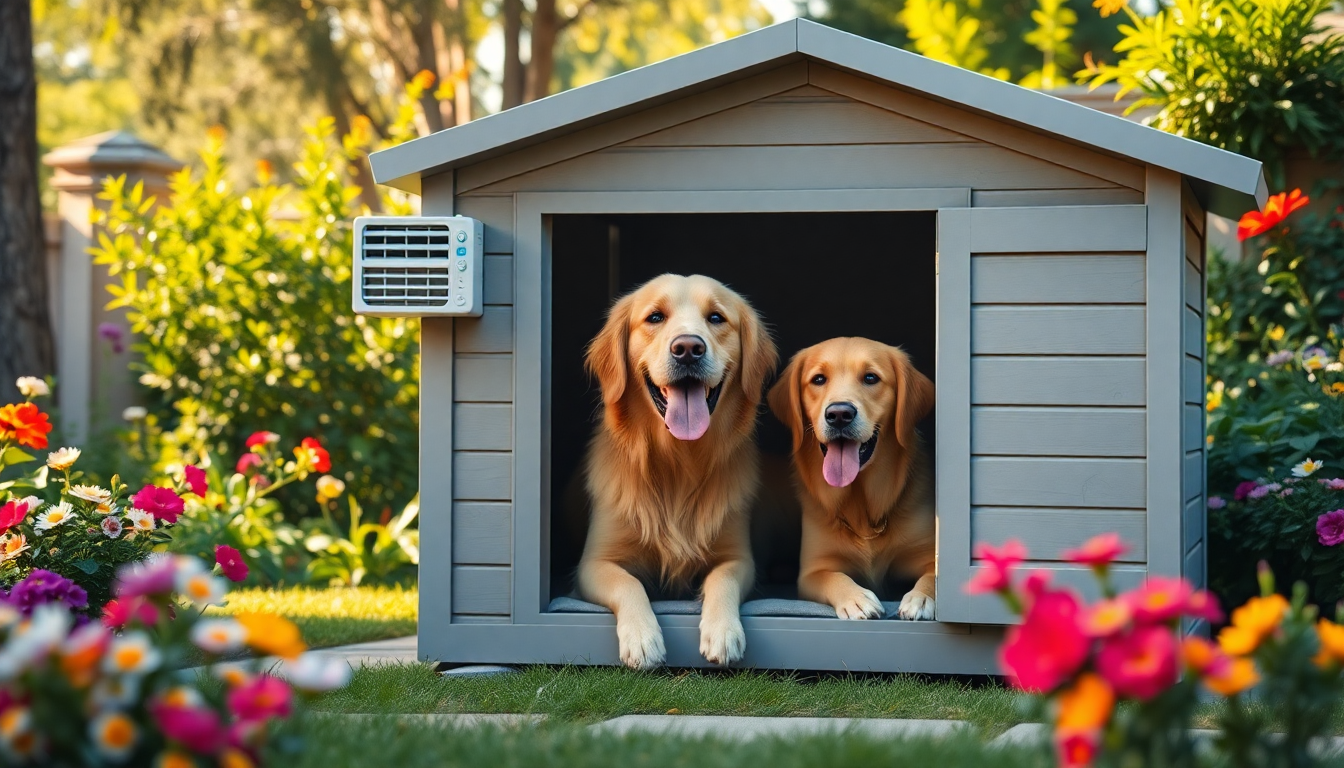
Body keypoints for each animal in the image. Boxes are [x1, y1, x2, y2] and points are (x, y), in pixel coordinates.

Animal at [577, 274, 779, 667]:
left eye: (716, 318)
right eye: (655, 317)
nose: (688, 348)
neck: (678, 463)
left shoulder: (738, 557)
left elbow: (723, 578)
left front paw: (723, 631)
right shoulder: (594, 563)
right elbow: (628, 582)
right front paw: (643, 637)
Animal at [768, 338, 935, 621]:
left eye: (870, 377)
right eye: (818, 379)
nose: (839, 414)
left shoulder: (929, 555)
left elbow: (934, 576)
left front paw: (921, 597)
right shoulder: (814, 570)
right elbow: (834, 577)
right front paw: (856, 598)